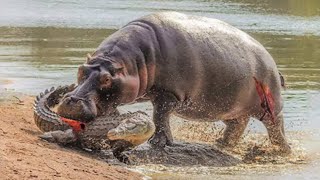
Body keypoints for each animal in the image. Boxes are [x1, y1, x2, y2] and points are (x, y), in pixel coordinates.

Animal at [57, 11, 290, 154]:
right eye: (81, 70)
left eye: (106, 79)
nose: (71, 100)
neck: (133, 62)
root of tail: (272, 62)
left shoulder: (168, 94)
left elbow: (160, 116)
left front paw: (159, 143)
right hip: (230, 108)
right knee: (237, 125)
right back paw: (221, 144)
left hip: (269, 106)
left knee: (276, 127)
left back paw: (282, 151)